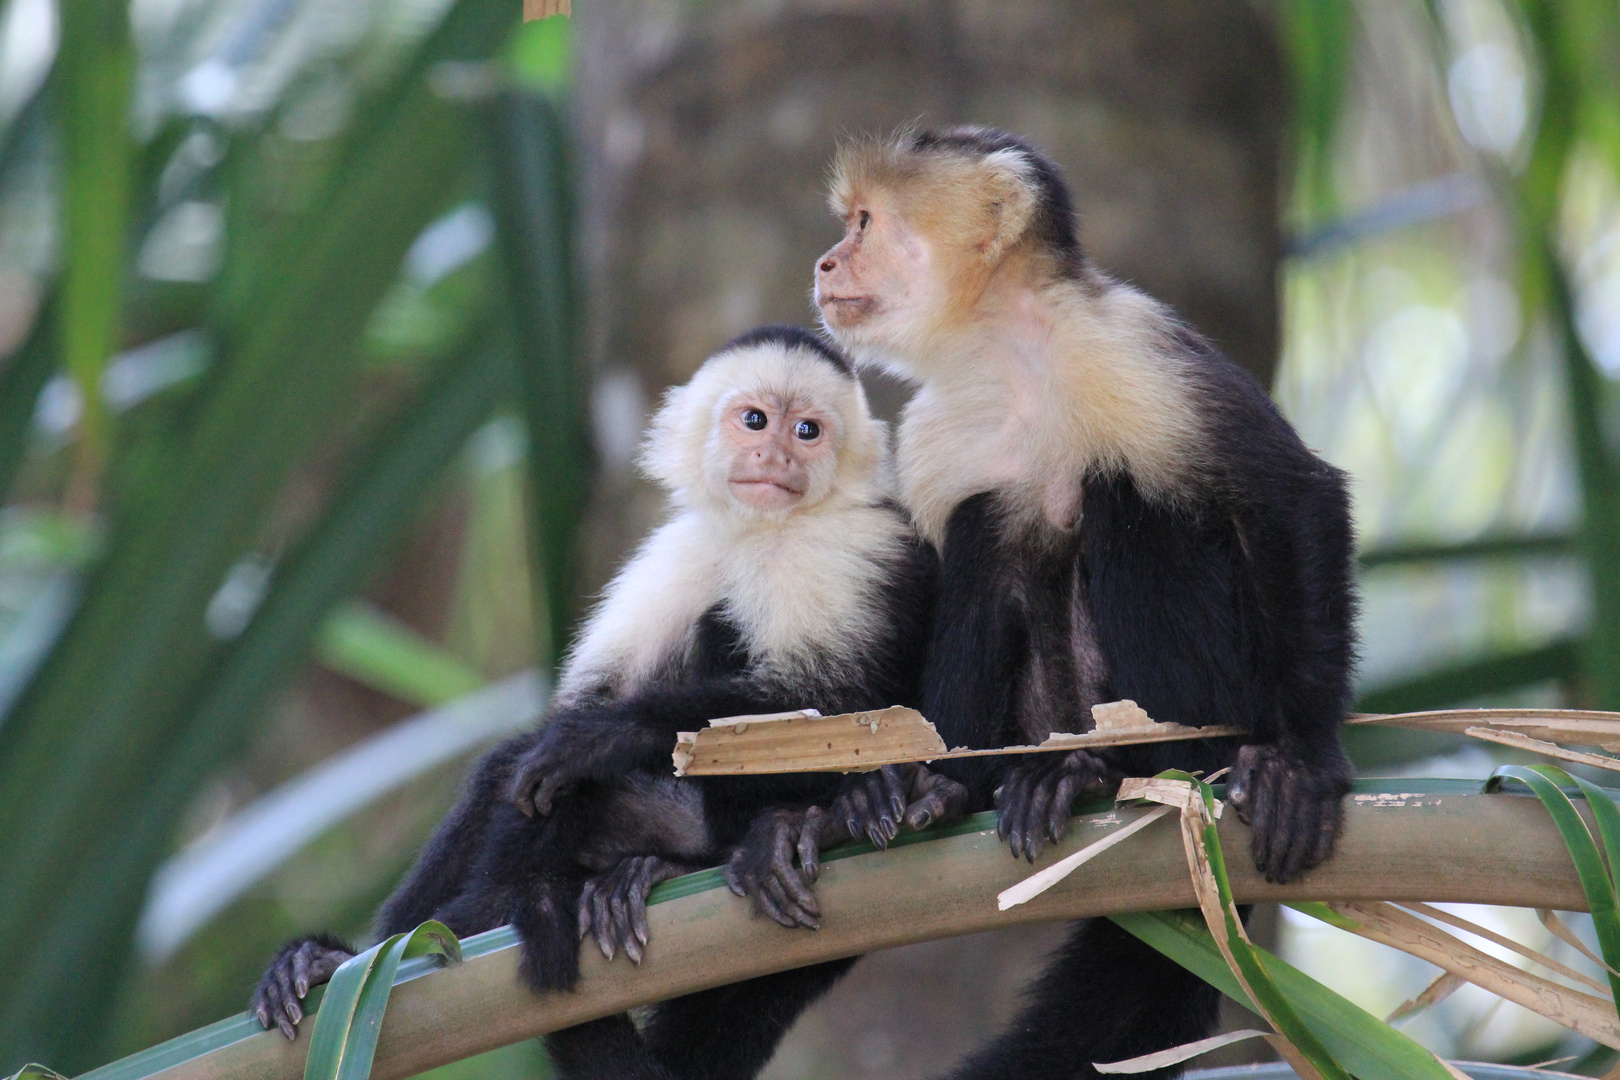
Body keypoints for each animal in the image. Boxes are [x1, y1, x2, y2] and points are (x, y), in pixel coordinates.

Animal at [246, 327, 965, 1080]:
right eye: (755, 420)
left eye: (809, 430)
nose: (776, 456)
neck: (763, 530)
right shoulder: (680, 547)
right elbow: (577, 709)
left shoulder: (847, 549)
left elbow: (834, 706)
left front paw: (601, 739)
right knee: (512, 773)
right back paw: (368, 952)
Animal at [810, 128, 1367, 1080]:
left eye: (866, 224)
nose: (826, 261)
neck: (1007, 350)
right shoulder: (931, 433)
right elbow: (928, 577)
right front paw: (897, 779)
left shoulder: (1134, 346)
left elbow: (1291, 496)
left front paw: (1305, 761)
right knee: (988, 527)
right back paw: (986, 785)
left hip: (1224, 687)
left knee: (1123, 490)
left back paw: (1152, 765)